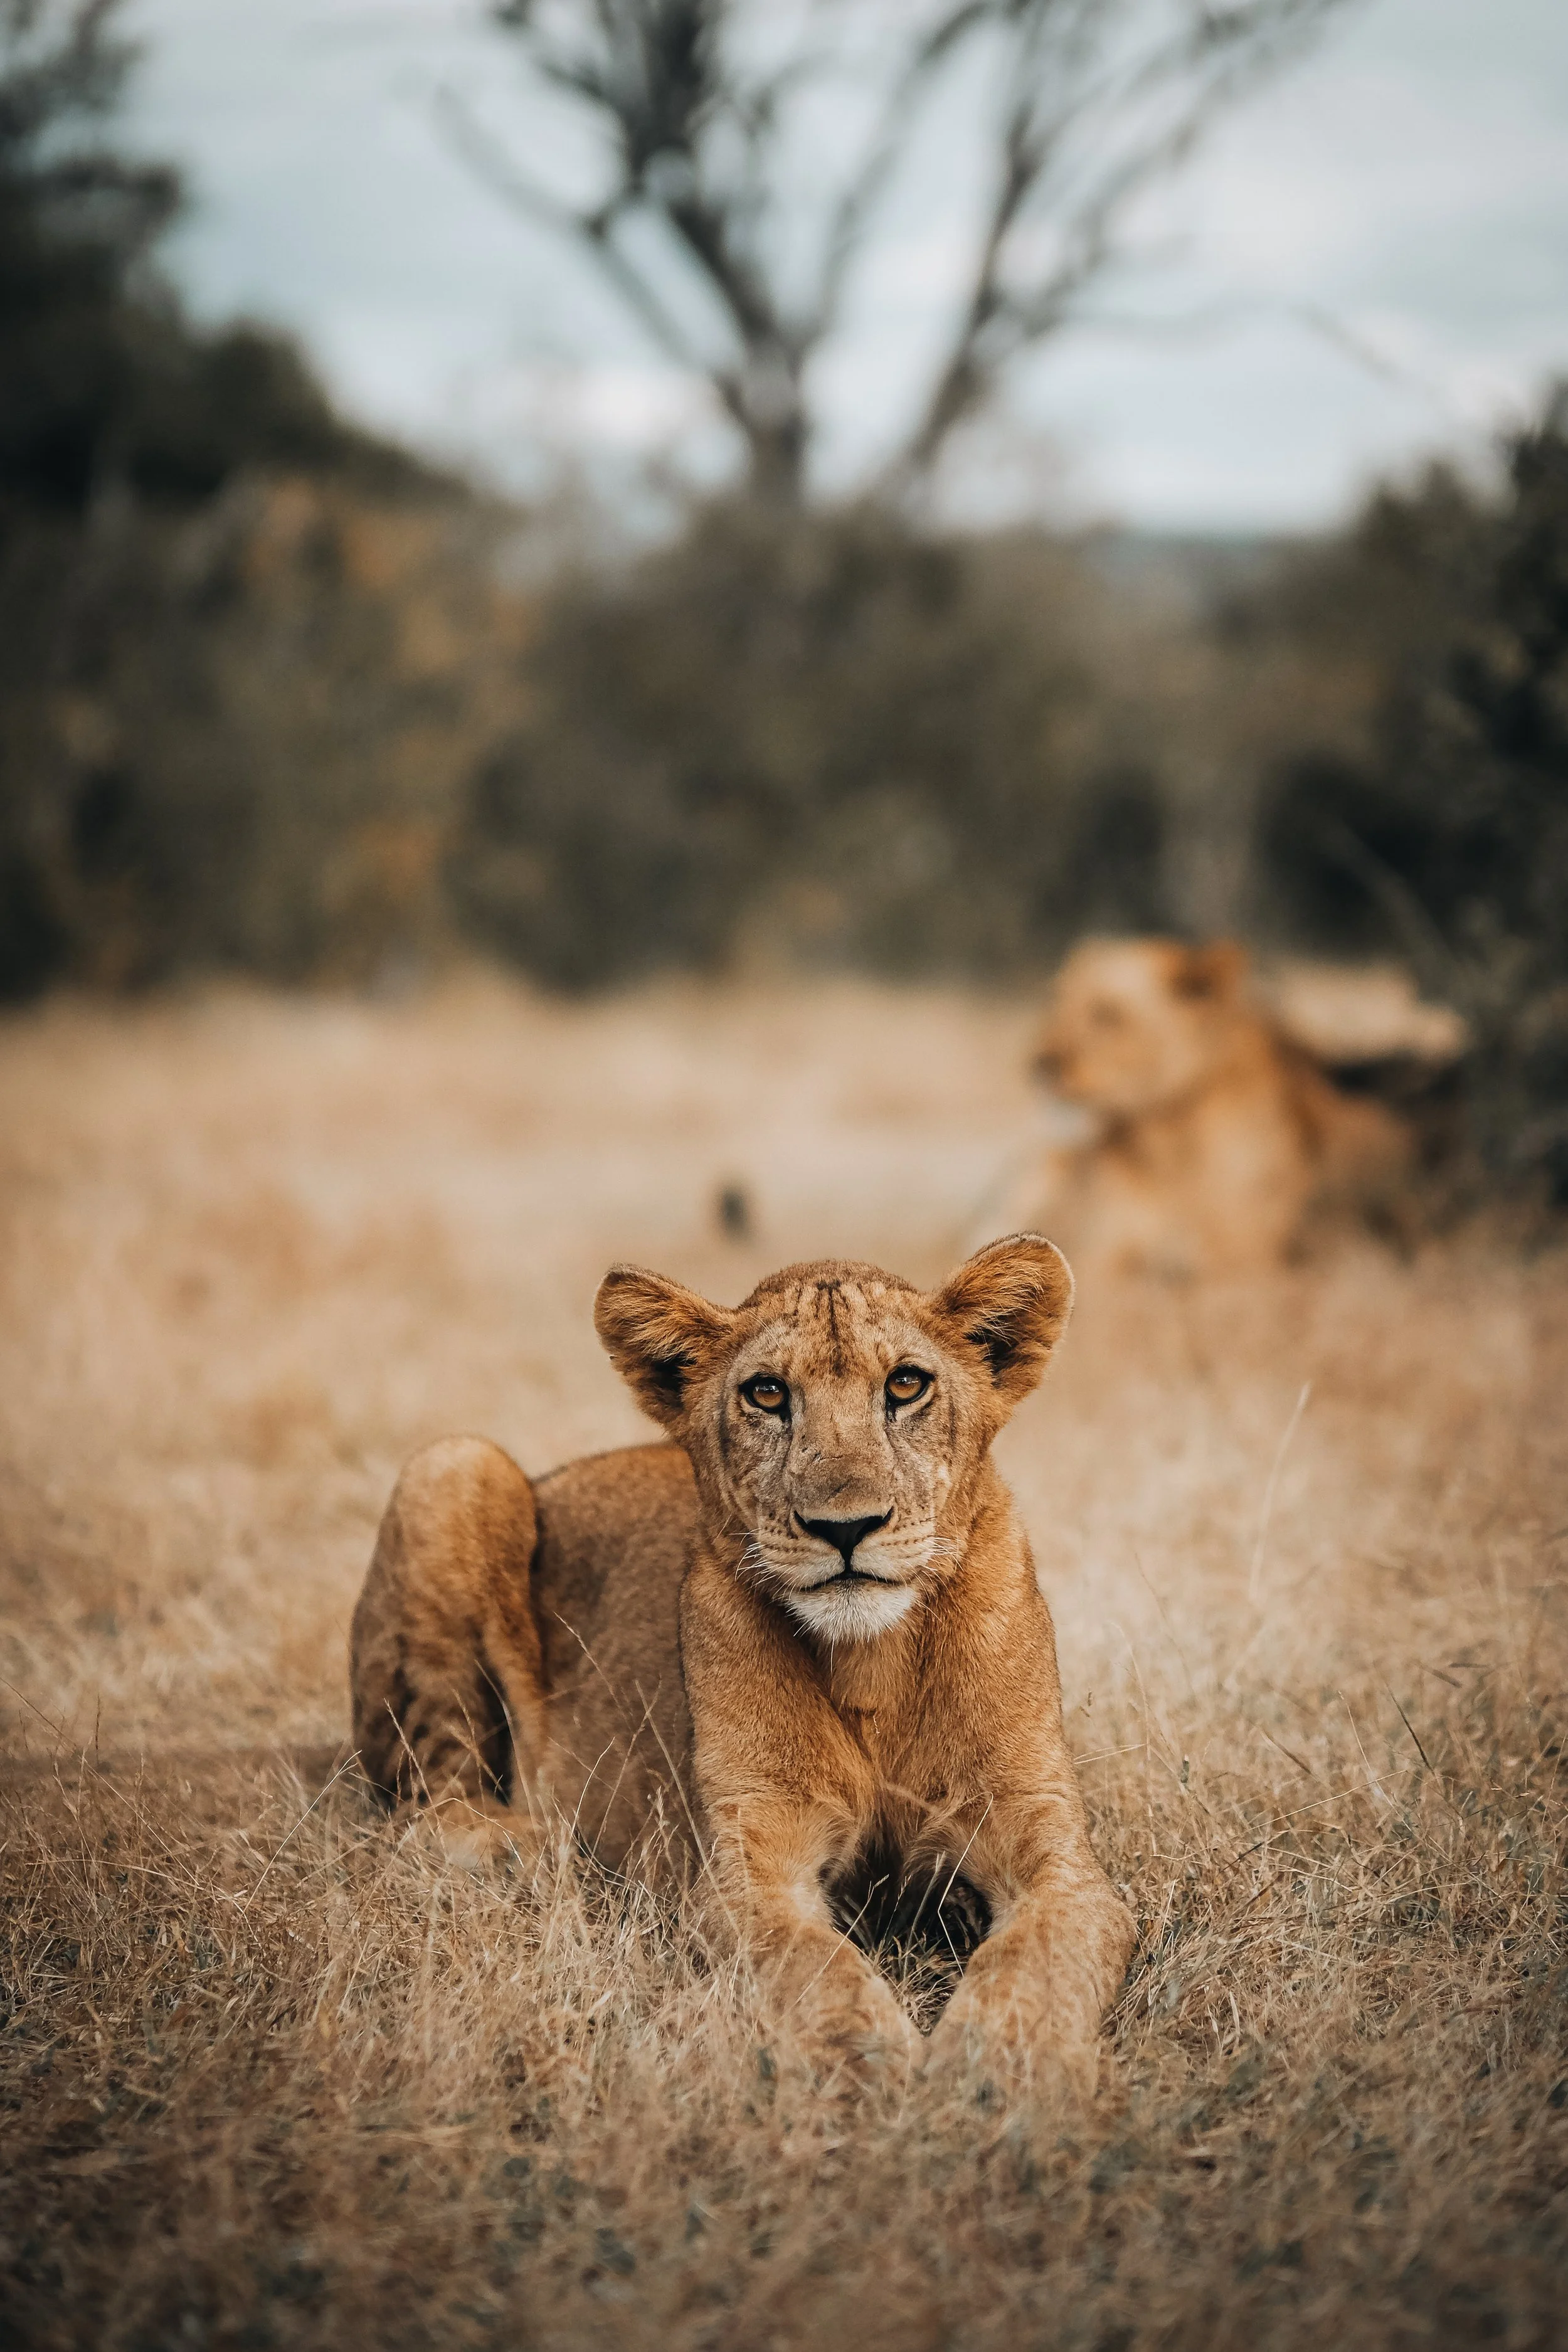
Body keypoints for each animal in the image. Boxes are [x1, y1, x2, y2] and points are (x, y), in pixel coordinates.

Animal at [350, 1235, 1134, 2086]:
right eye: (766, 1394)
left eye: (905, 1384)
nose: (844, 1526)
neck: (872, 1666)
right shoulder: (743, 1866)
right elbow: (811, 1965)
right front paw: (869, 2065)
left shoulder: (1053, 1850)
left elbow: (1038, 1954)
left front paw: (999, 2068)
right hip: (454, 1466)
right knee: (421, 1806)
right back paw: (528, 1847)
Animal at [984, 937, 1416, 1276]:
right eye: (1056, 1003)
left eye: (1108, 1014)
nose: (1040, 1065)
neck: (1168, 1140)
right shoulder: (1108, 1251)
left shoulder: (1243, 1257)